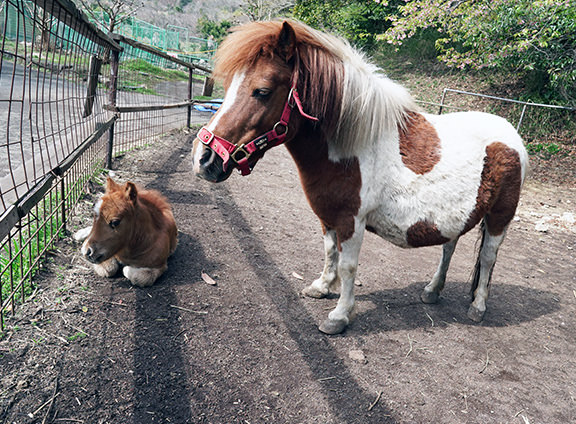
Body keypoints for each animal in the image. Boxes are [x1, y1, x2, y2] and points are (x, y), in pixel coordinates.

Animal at [191, 20, 528, 334]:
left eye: (262, 91)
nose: (203, 158)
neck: (351, 147)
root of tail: (512, 135)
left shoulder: (351, 221)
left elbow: (349, 266)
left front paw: (339, 316)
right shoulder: (328, 217)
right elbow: (330, 253)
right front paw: (322, 287)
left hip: (499, 218)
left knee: (488, 258)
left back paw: (478, 306)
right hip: (456, 217)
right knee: (449, 248)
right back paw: (432, 290)